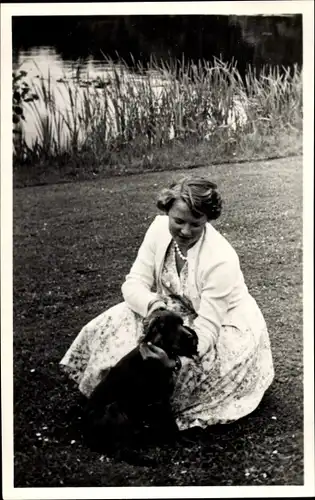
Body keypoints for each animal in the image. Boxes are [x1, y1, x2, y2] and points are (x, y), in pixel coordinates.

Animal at [82, 310, 199, 452]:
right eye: (170, 326)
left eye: (181, 323)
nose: (191, 337)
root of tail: (85, 432)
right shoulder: (160, 400)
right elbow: (171, 423)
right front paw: (179, 440)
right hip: (115, 408)